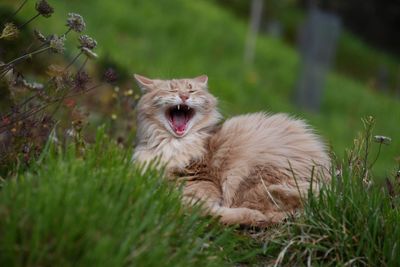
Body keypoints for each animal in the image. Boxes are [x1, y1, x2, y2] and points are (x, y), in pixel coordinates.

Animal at [133, 74, 330, 227]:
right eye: (171, 90)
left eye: (191, 90)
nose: (183, 96)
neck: (173, 144)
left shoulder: (202, 185)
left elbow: (197, 207)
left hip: (249, 177)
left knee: (264, 213)